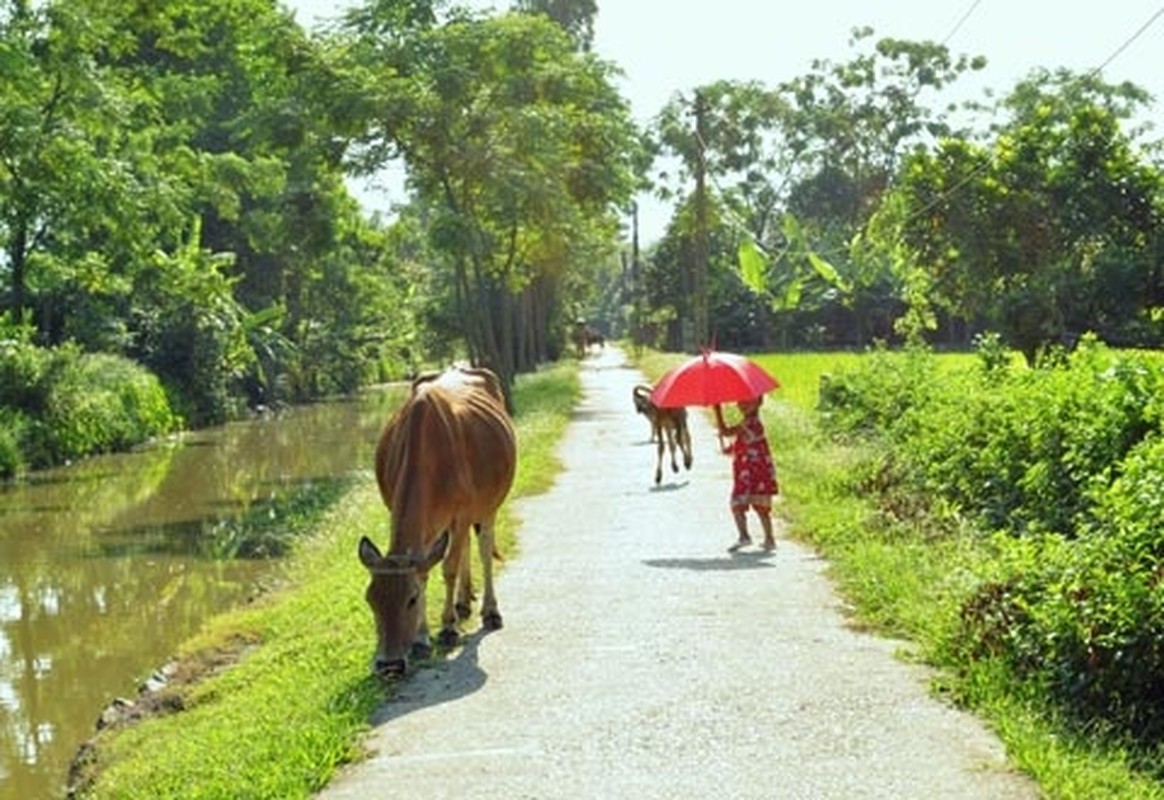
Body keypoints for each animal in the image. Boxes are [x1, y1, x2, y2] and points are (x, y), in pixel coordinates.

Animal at [356, 365, 516, 680]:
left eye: (412, 599)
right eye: (370, 600)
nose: (389, 664)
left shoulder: (462, 513)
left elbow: (448, 567)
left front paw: (447, 628)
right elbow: (426, 570)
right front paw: (421, 638)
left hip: (489, 505)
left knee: (483, 548)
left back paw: (489, 611)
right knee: (464, 547)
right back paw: (463, 601)